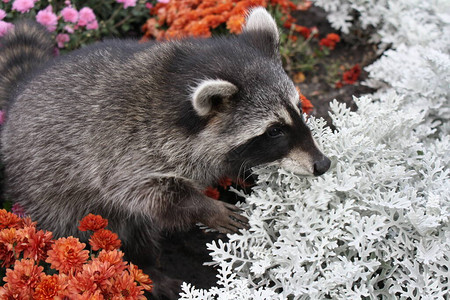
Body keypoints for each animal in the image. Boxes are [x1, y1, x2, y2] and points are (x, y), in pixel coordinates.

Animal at [0, 8, 330, 298]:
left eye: (298, 108)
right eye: (274, 130)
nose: (323, 164)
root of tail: (23, 89)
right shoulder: (123, 148)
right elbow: (142, 191)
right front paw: (204, 206)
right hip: (48, 189)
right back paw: (147, 270)